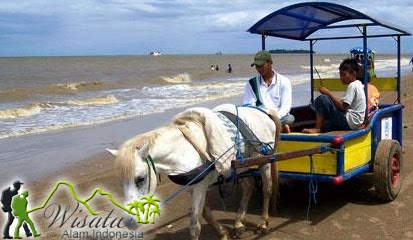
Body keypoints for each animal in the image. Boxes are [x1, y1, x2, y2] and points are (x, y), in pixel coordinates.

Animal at [108, 103, 280, 240]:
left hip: (265, 162)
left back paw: (263, 223)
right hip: (242, 166)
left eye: (141, 178)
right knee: (249, 186)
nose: (129, 222)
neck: (184, 149)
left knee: (267, 189)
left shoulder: (199, 186)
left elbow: (195, 226)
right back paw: (238, 224)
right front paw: (222, 233)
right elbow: (206, 215)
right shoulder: (191, 186)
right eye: (119, 182)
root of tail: (264, 112)